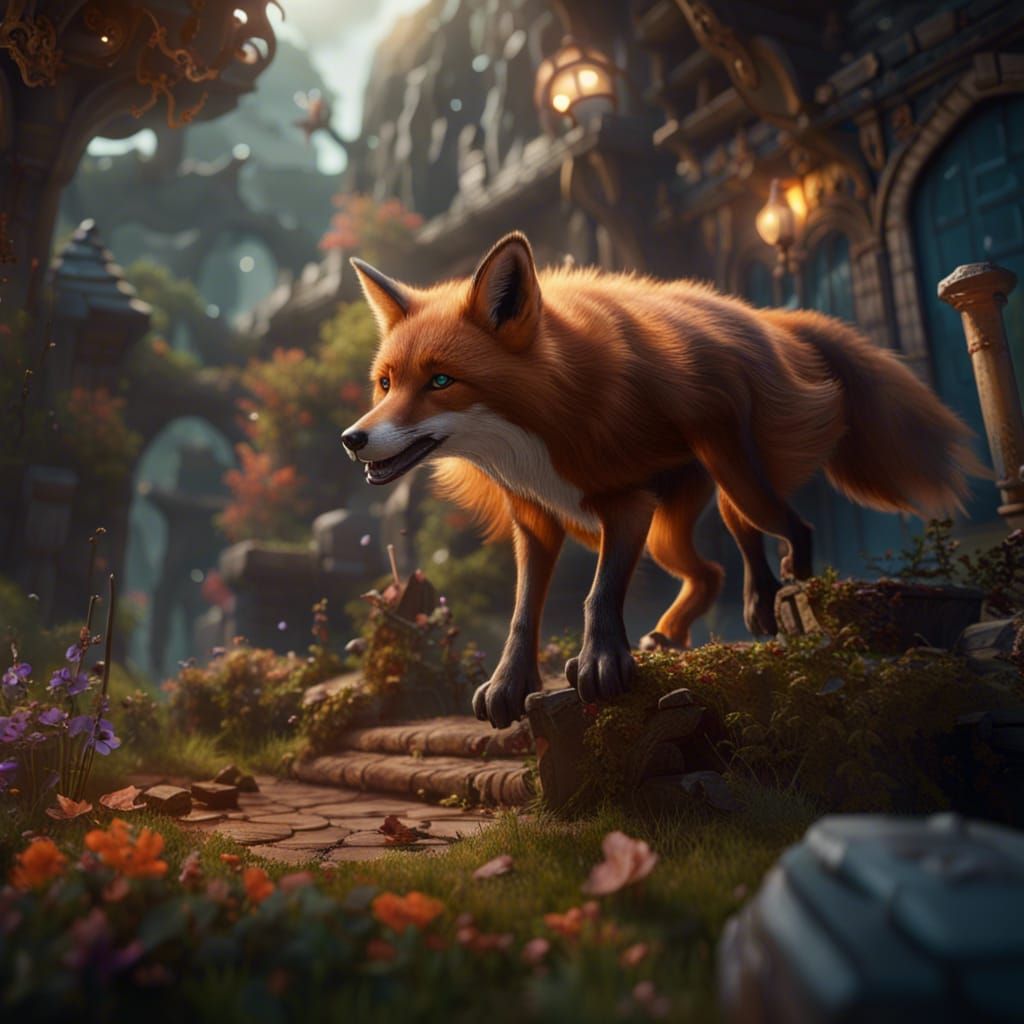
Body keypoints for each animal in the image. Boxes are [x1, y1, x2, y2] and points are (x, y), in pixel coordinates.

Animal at [342, 231, 983, 729]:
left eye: (441, 381)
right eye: (385, 383)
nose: (352, 439)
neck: (537, 436)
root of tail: (761, 318)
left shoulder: (626, 504)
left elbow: (599, 595)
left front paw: (601, 666)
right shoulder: (536, 521)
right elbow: (524, 610)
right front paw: (510, 684)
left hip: (731, 485)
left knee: (788, 527)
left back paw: (789, 596)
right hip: (676, 529)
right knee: (715, 566)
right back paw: (703, 621)